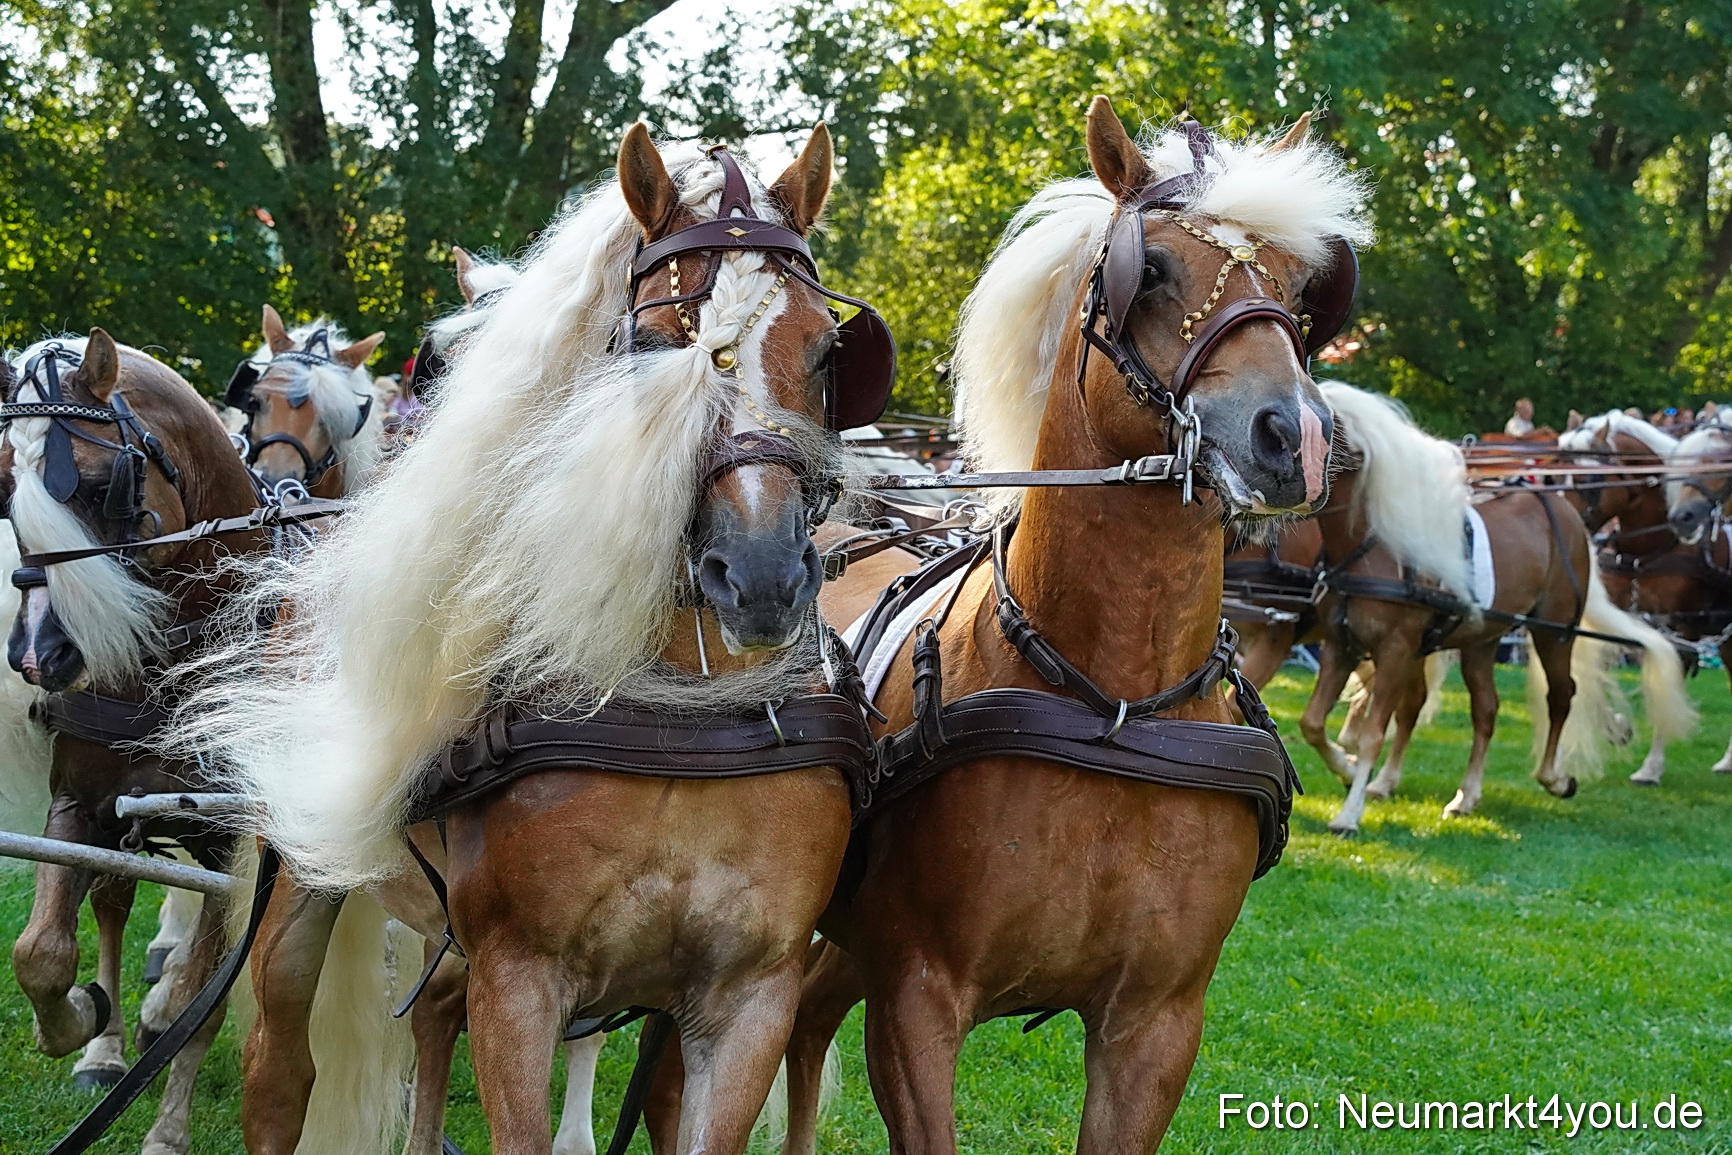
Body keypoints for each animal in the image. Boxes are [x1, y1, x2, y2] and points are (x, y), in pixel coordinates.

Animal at [0, 330, 270, 1154]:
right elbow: (41, 953)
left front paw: (167, 1129)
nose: (37, 658)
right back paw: (108, 1046)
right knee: (115, 903)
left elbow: (198, 999)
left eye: (97, 487)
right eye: (4, 490)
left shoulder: (233, 841)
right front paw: (76, 1021)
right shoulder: (79, 803)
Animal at [165, 123, 888, 1155]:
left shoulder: (751, 994)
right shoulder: (519, 979)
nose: (761, 576)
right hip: (302, 885)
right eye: (651, 344)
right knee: (279, 1068)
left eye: (828, 352)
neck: (684, 719)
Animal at [765, 98, 1363, 1153]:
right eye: (1149, 271)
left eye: (1299, 290)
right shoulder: (917, 999)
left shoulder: (1156, 1024)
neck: (1110, 702)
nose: (1293, 437)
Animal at [1297, 383, 1692, 834]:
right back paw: (1464, 794)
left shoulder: (1395, 650)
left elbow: (1372, 734)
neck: (1368, 544)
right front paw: (1348, 771)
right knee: (1483, 710)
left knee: (1561, 696)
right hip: (1480, 641)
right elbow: (1312, 723)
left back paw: (1553, 778)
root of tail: (1563, 511)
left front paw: (1349, 810)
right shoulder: (1340, 647)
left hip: (1553, 630)